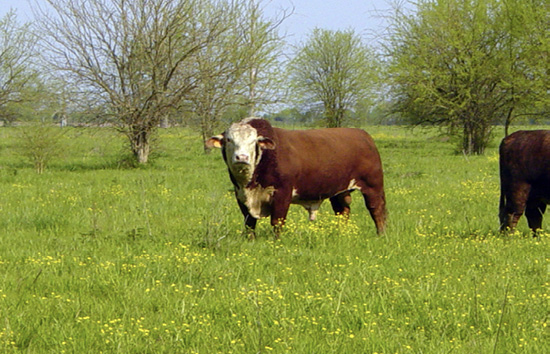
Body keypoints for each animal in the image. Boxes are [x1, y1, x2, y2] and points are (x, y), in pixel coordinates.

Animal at [207, 118, 388, 238]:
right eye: (229, 139)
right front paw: (250, 240)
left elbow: (277, 222)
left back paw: (381, 235)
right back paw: (341, 234)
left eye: (253, 141)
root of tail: (363, 134)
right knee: (342, 211)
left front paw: (276, 242)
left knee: (376, 209)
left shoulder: (282, 193)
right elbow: (249, 223)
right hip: (340, 191)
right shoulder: (240, 195)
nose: (242, 157)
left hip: (373, 185)